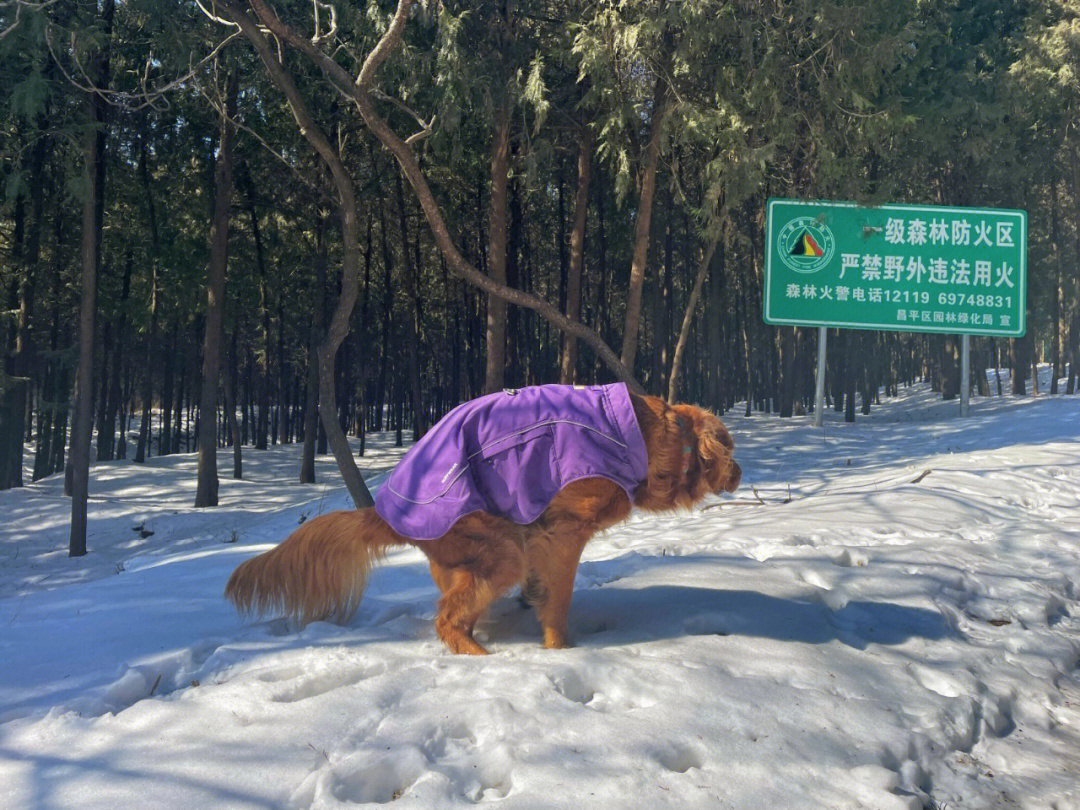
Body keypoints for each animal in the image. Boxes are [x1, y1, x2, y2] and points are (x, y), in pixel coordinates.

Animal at [223, 384, 738, 656]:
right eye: (731, 449)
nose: (740, 472)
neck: (649, 438)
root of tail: (388, 512)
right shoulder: (560, 532)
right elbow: (558, 602)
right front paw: (560, 653)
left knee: (453, 610)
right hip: (498, 550)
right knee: (447, 620)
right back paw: (481, 659)